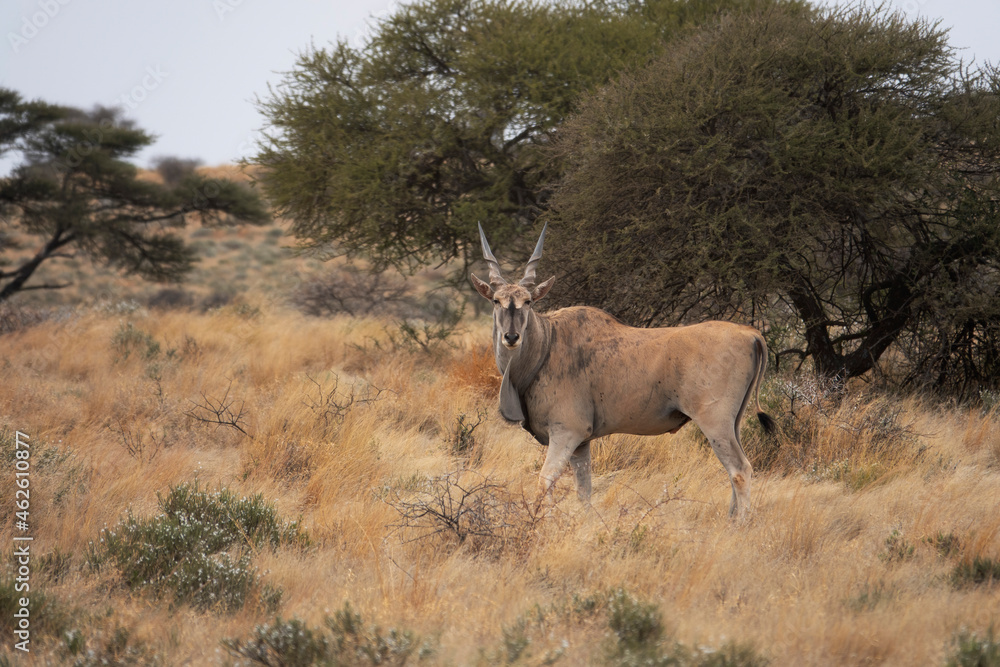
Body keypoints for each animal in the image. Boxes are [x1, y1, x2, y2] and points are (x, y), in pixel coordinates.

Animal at [470, 223, 776, 519]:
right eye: (496, 300)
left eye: (528, 302)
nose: (511, 337)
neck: (547, 343)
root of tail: (750, 334)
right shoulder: (581, 443)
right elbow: (584, 491)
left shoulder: (566, 433)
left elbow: (544, 482)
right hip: (733, 423)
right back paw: (731, 519)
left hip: (715, 423)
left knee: (740, 470)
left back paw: (738, 525)